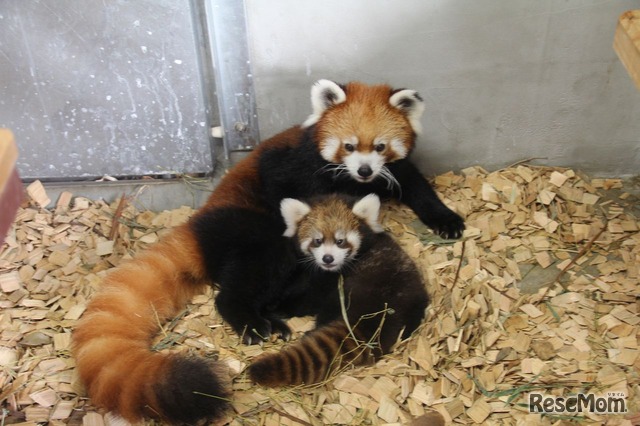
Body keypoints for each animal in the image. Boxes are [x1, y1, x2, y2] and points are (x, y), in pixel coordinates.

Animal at [250, 195, 430, 388]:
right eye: (318, 241)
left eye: (340, 241)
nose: (327, 258)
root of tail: (375, 310)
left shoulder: (331, 280)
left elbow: (307, 299)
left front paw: (275, 307)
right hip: (415, 303)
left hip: (344, 294)